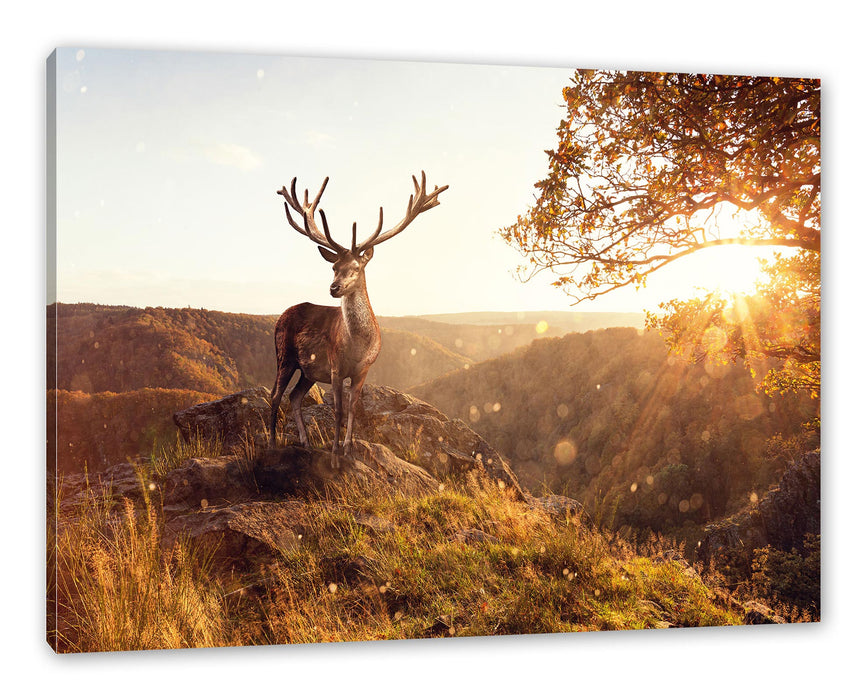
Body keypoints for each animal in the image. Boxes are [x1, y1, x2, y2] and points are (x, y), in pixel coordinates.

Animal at [268, 172, 446, 462]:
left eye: (356, 267)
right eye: (333, 266)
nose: (334, 287)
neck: (357, 346)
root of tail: (281, 316)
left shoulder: (364, 369)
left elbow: (353, 408)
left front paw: (349, 449)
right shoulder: (335, 366)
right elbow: (338, 411)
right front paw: (334, 456)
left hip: (309, 370)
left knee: (294, 396)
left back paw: (306, 443)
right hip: (284, 355)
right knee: (275, 395)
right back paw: (272, 445)